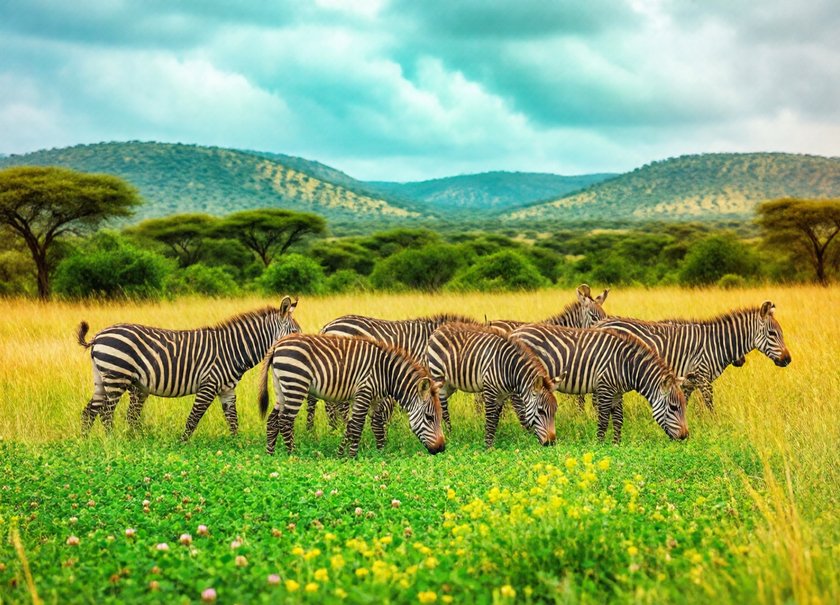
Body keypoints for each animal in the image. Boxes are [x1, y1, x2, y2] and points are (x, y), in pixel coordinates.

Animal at [76, 296, 300, 440]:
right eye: (294, 331)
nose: (300, 345)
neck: (232, 349)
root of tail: (98, 336)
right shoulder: (209, 385)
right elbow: (194, 418)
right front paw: (182, 443)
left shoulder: (227, 390)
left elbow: (233, 419)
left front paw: (237, 445)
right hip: (116, 376)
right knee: (105, 412)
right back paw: (112, 440)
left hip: (101, 379)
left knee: (90, 411)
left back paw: (86, 442)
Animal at [257, 334, 446, 457]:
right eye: (429, 417)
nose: (441, 448)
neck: (386, 373)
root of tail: (277, 344)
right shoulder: (364, 392)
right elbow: (357, 426)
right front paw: (352, 456)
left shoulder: (372, 398)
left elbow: (374, 425)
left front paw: (378, 452)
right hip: (296, 384)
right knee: (285, 421)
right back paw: (293, 455)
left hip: (282, 387)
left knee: (273, 420)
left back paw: (270, 454)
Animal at [424, 323, 562, 448]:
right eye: (541, 411)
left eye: (555, 410)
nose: (551, 443)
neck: (509, 368)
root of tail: (439, 329)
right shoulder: (490, 389)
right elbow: (490, 418)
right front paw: (488, 446)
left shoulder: (502, 395)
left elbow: (495, 419)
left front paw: (491, 443)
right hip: (438, 376)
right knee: (443, 407)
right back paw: (449, 435)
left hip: (450, 384)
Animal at [510, 324, 689, 443]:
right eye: (674, 407)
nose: (685, 437)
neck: (626, 364)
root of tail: (515, 332)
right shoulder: (605, 388)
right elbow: (603, 420)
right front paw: (600, 445)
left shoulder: (617, 392)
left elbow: (618, 419)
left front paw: (616, 444)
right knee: (519, 406)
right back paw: (529, 434)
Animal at [593, 301, 791, 411]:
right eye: (772, 333)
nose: (788, 360)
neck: (716, 343)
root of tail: (599, 324)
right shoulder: (703, 378)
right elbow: (710, 407)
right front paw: (714, 430)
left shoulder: (688, 382)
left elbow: (684, 404)